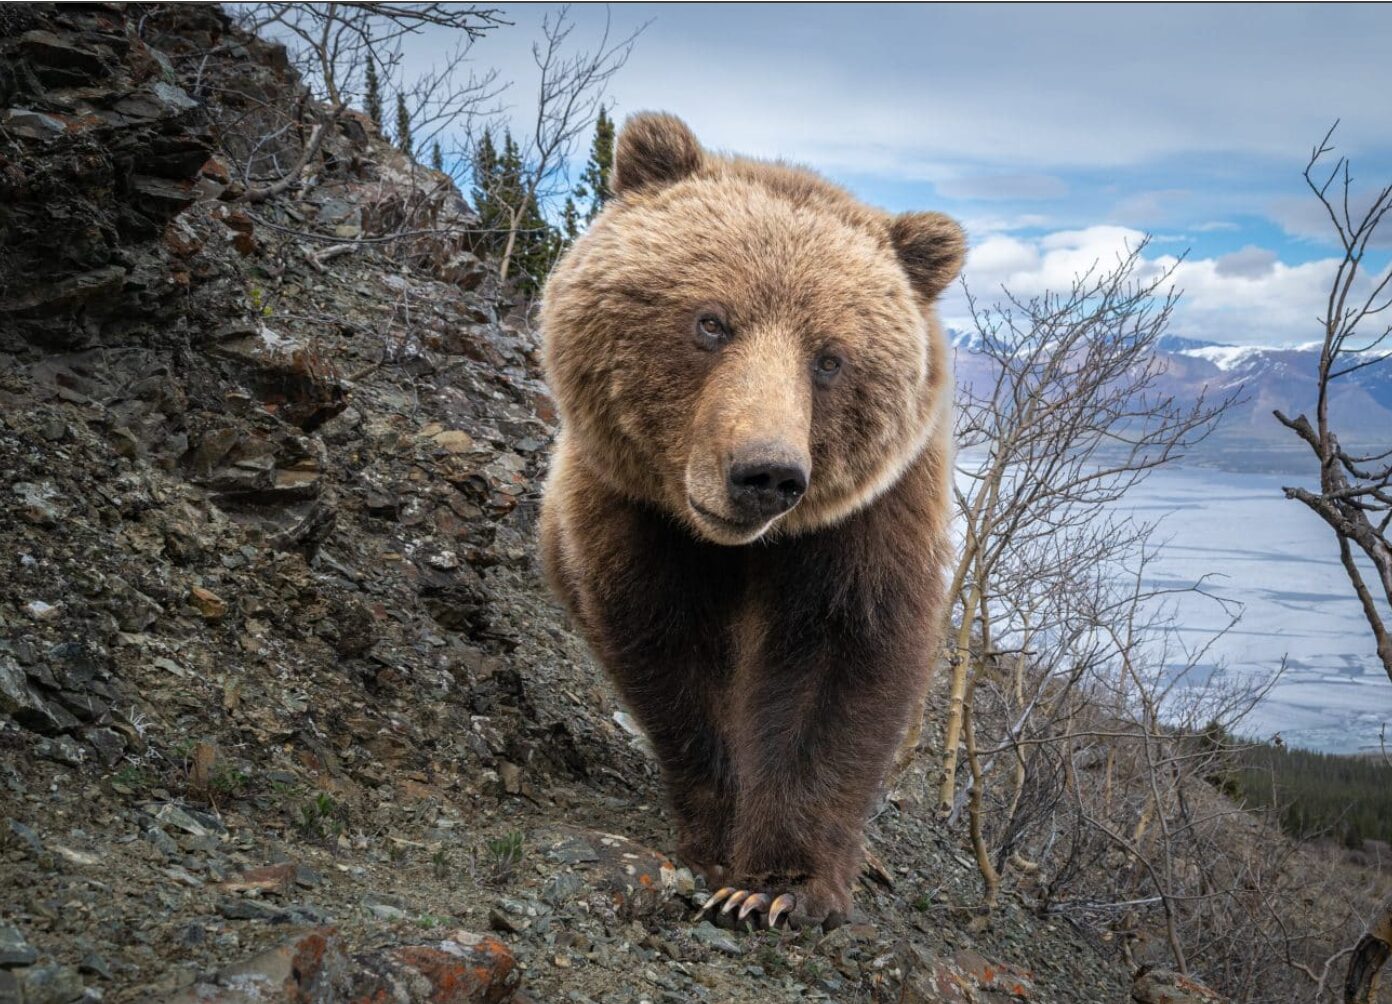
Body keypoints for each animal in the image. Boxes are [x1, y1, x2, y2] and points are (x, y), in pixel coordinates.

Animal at [538, 113, 962, 930]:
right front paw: (717, 841)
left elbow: (834, 669)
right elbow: (673, 661)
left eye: (830, 358)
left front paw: (776, 885)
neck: (736, 548)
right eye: (711, 322)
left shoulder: (860, 529)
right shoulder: (634, 518)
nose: (766, 473)